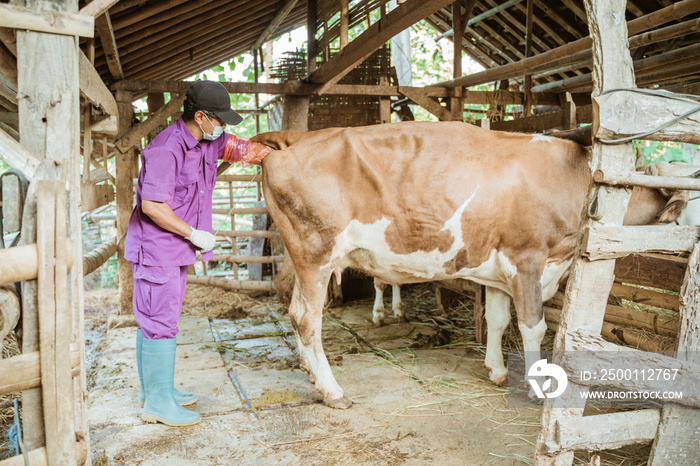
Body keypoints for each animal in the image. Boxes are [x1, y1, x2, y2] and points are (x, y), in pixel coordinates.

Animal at [250, 121, 684, 408]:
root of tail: (295, 140)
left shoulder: (498, 267)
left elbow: (497, 319)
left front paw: (496, 370)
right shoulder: (527, 259)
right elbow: (532, 327)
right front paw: (536, 386)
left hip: (299, 256)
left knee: (290, 304)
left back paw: (311, 373)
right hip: (316, 254)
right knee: (307, 318)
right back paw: (332, 390)